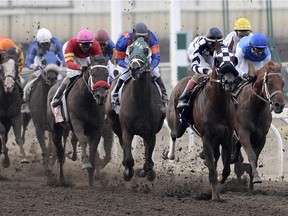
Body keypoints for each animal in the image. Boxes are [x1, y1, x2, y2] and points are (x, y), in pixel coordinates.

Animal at [46, 54, 111, 186]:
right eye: (93, 74)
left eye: (107, 74)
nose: (101, 97)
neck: (89, 100)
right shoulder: (77, 122)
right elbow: (82, 140)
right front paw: (86, 163)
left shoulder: (97, 128)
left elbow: (93, 149)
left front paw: (91, 180)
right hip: (56, 130)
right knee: (60, 152)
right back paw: (61, 179)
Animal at [105, 37, 164, 182]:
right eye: (130, 49)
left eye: (146, 50)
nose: (134, 68)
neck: (140, 101)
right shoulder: (127, 130)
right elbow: (128, 157)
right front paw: (128, 171)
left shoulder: (151, 132)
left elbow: (148, 159)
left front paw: (147, 172)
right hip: (114, 123)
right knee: (122, 143)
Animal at [163, 44, 240, 201]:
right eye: (218, 60)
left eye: (234, 59)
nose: (229, 81)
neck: (218, 105)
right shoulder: (207, 138)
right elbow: (212, 171)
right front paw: (214, 196)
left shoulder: (227, 139)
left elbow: (225, 170)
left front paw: (218, 188)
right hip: (178, 125)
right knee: (173, 133)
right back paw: (170, 155)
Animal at [231, 60, 284, 189]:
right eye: (269, 83)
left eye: (283, 83)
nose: (279, 105)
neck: (254, 107)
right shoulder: (244, 133)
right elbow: (251, 155)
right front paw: (255, 177)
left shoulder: (261, 137)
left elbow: (255, 159)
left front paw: (252, 184)